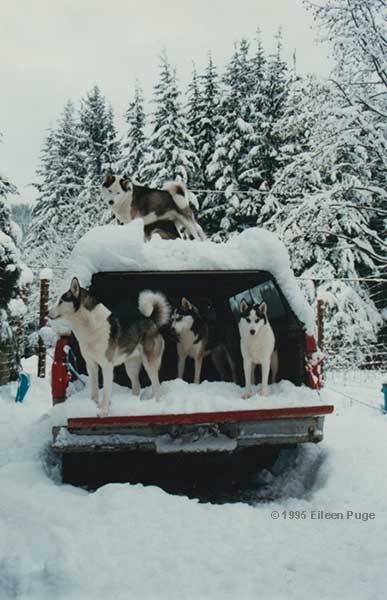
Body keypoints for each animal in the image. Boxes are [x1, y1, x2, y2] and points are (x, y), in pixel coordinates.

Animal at [48, 278, 170, 414]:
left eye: (61, 301)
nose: (47, 312)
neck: (89, 325)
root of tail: (151, 320)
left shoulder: (107, 366)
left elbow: (106, 391)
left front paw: (103, 411)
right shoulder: (91, 364)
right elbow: (94, 390)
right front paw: (93, 405)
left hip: (149, 364)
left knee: (157, 386)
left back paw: (156, 405)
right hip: (131, 367)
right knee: (137, 386)